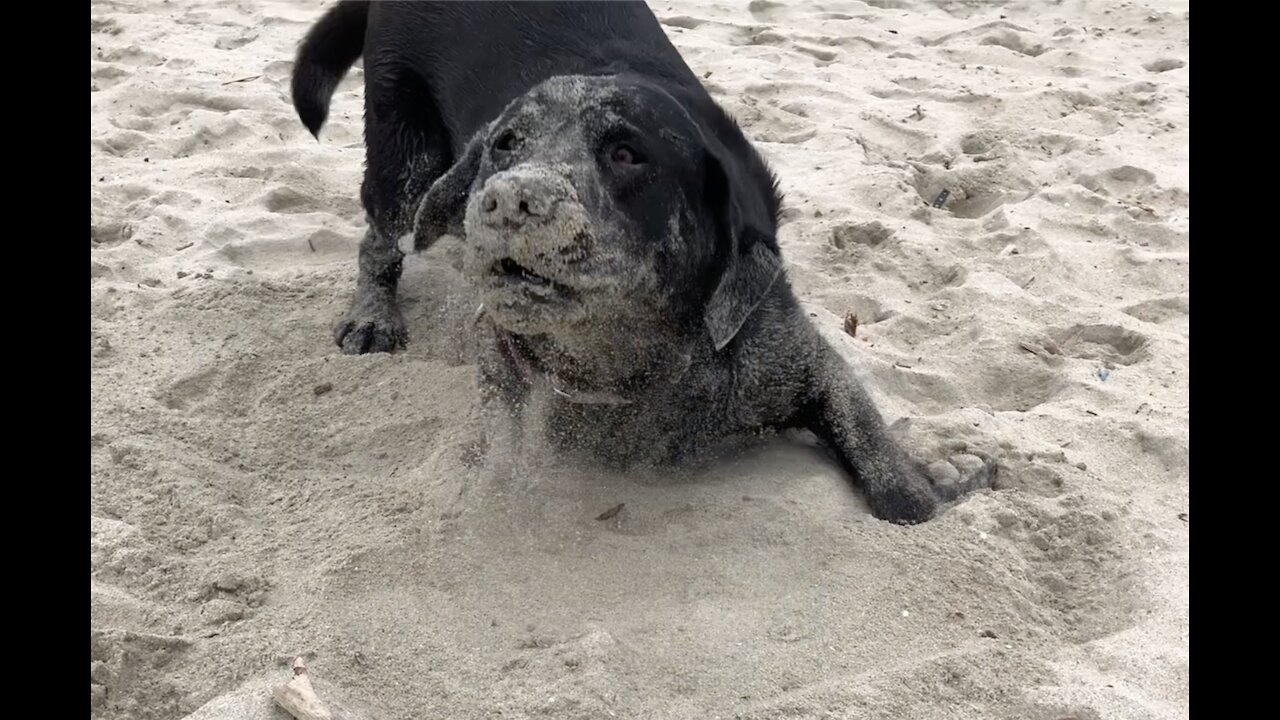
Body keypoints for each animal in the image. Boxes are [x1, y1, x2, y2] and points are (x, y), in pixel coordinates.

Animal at [290, 0, 988, 520]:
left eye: (627, 153)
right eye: (505, 144)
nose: (507, 198)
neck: (637, 365)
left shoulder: (799, 356)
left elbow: (897, 490)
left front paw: (941, 479)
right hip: (403, 163)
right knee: (379, 239)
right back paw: (373, 315)